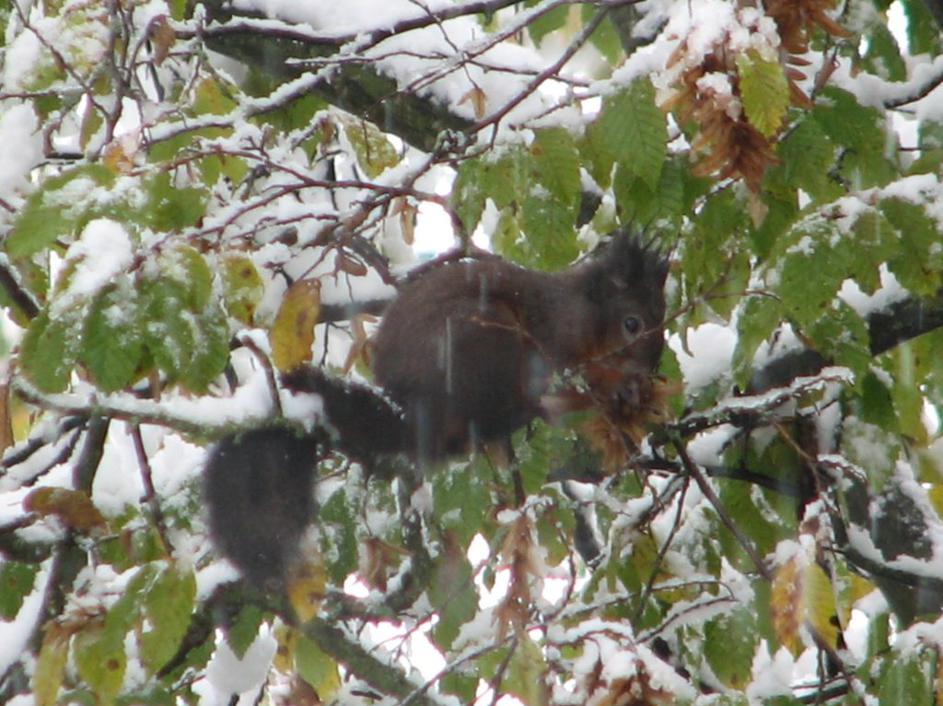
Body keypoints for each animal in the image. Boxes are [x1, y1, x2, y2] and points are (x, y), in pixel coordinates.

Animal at [204, 228, 669, 586]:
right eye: (632, 323)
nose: (647, 375)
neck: (581, 314)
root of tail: (415, 411)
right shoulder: (556, 338)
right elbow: (576, 376)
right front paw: (620, 392)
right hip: (483, 340)